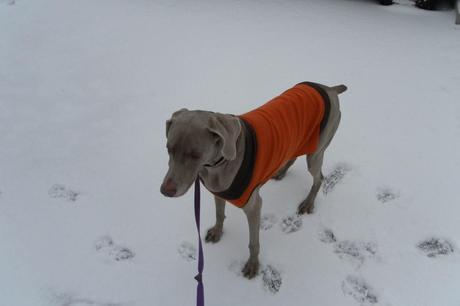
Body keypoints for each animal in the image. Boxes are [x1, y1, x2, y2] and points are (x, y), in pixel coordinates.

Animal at [161, 82, 344, 278]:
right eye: (168, 148)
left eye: (195, 155)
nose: (165, 190)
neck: (217, 165)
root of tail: (330, 88)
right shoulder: (218, 190)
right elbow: (219, 214)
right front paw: (217, 232)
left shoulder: (254, 206)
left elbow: (253, 242)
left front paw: (252, 265)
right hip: (298, 141)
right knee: (293, 157)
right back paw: (281, 172)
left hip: (316, 150)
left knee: (319, 178)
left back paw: (308, 203)